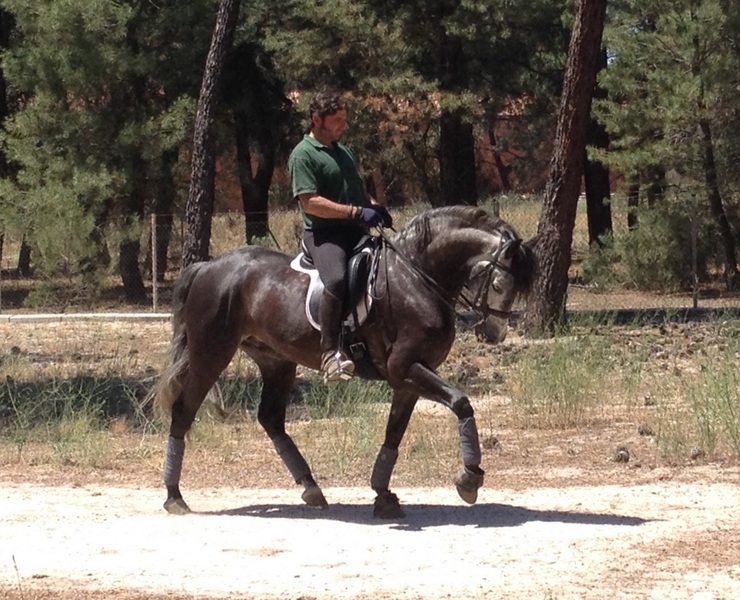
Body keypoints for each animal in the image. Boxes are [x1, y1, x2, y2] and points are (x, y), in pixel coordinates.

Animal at [150, 205, 536, 518]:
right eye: (499, 283)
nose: (495, 333)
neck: (415, 279)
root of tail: (207, 266)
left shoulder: (408, 378)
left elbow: (394, 432)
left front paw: (383, 495)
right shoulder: (406, 369)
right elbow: (462, 403)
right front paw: (469, 479)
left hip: (276, 361)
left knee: (271, 419)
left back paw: (311, 488)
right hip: (211, 353)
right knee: (183, 412)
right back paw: (174, 496)